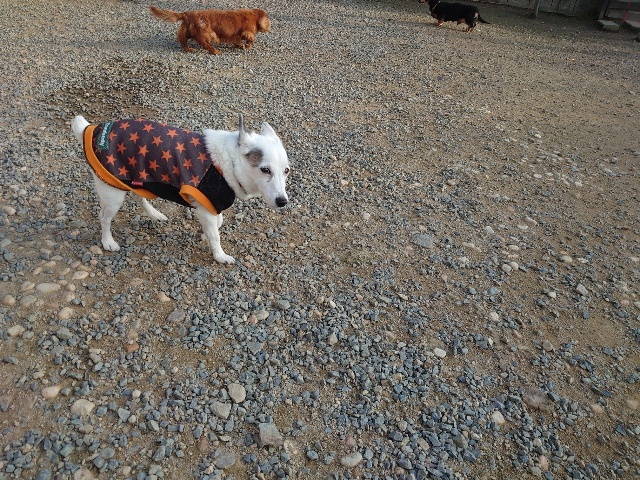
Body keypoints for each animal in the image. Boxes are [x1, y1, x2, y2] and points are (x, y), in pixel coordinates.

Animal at [71, 114, 290, 264]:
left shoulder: (211, 205)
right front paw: (220, 255)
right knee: (104, 218)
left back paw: (155, 214)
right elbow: (216, 235)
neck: (229, 162)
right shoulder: (206, 206)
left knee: (138, 197)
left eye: (286, 171)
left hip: (137, 179)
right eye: (265, 169)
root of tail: (91, 129)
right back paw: (108, 241)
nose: (283, 202)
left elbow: (217, 224)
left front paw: (205, 234)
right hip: (112, 193)